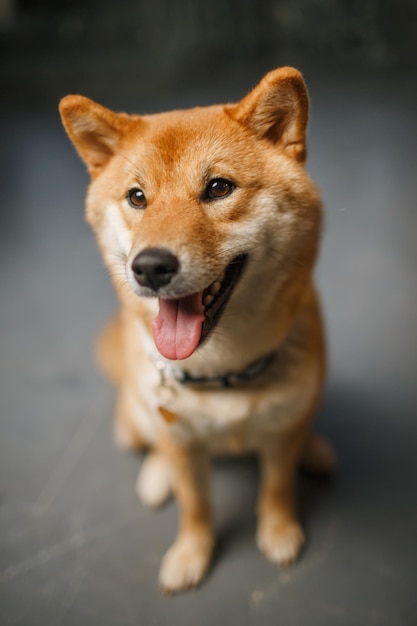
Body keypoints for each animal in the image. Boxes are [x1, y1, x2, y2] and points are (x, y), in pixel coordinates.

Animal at [59, 66, 334, 592]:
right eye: (137, 197)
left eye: (219, 188)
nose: (150, 266)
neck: (222, 372)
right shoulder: (182, 444)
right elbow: (196, 506)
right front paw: (191, 554)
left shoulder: (281, 432)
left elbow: (277, 486)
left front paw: (279, 532)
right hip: (136, 422)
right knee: (150, 441)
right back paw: (155, 475)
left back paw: (315, 448)